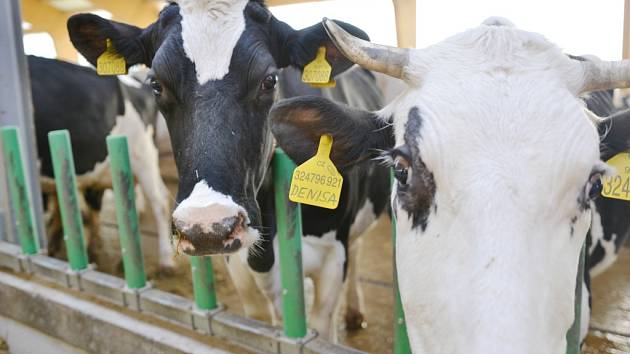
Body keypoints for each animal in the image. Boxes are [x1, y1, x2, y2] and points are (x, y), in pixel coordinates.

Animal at [66, 0, 388, 340]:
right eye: (155, 84)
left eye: (270, 80)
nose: (206, 225)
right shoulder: (239, 267)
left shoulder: (331, 259)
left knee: (358, 248)